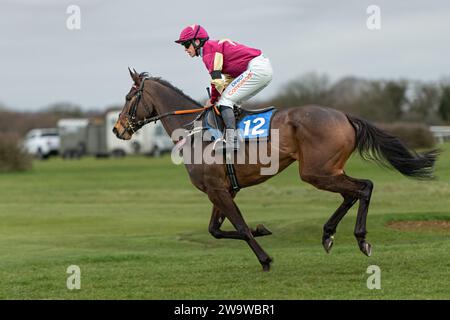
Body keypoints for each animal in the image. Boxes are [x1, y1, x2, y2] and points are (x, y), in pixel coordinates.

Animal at [112, 69, 440, 272]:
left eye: (128, 98)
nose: (117, 129)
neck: (194, 130)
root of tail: (344, 115)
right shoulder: (222, 189)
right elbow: (216, 230)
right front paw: (263, 229)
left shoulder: (217, 190)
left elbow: (239, 227)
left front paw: (265, 259)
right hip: (328, 170)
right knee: (353, 192)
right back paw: (328, 234)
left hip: (316, 171)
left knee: (364, 187)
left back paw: (360, 238)